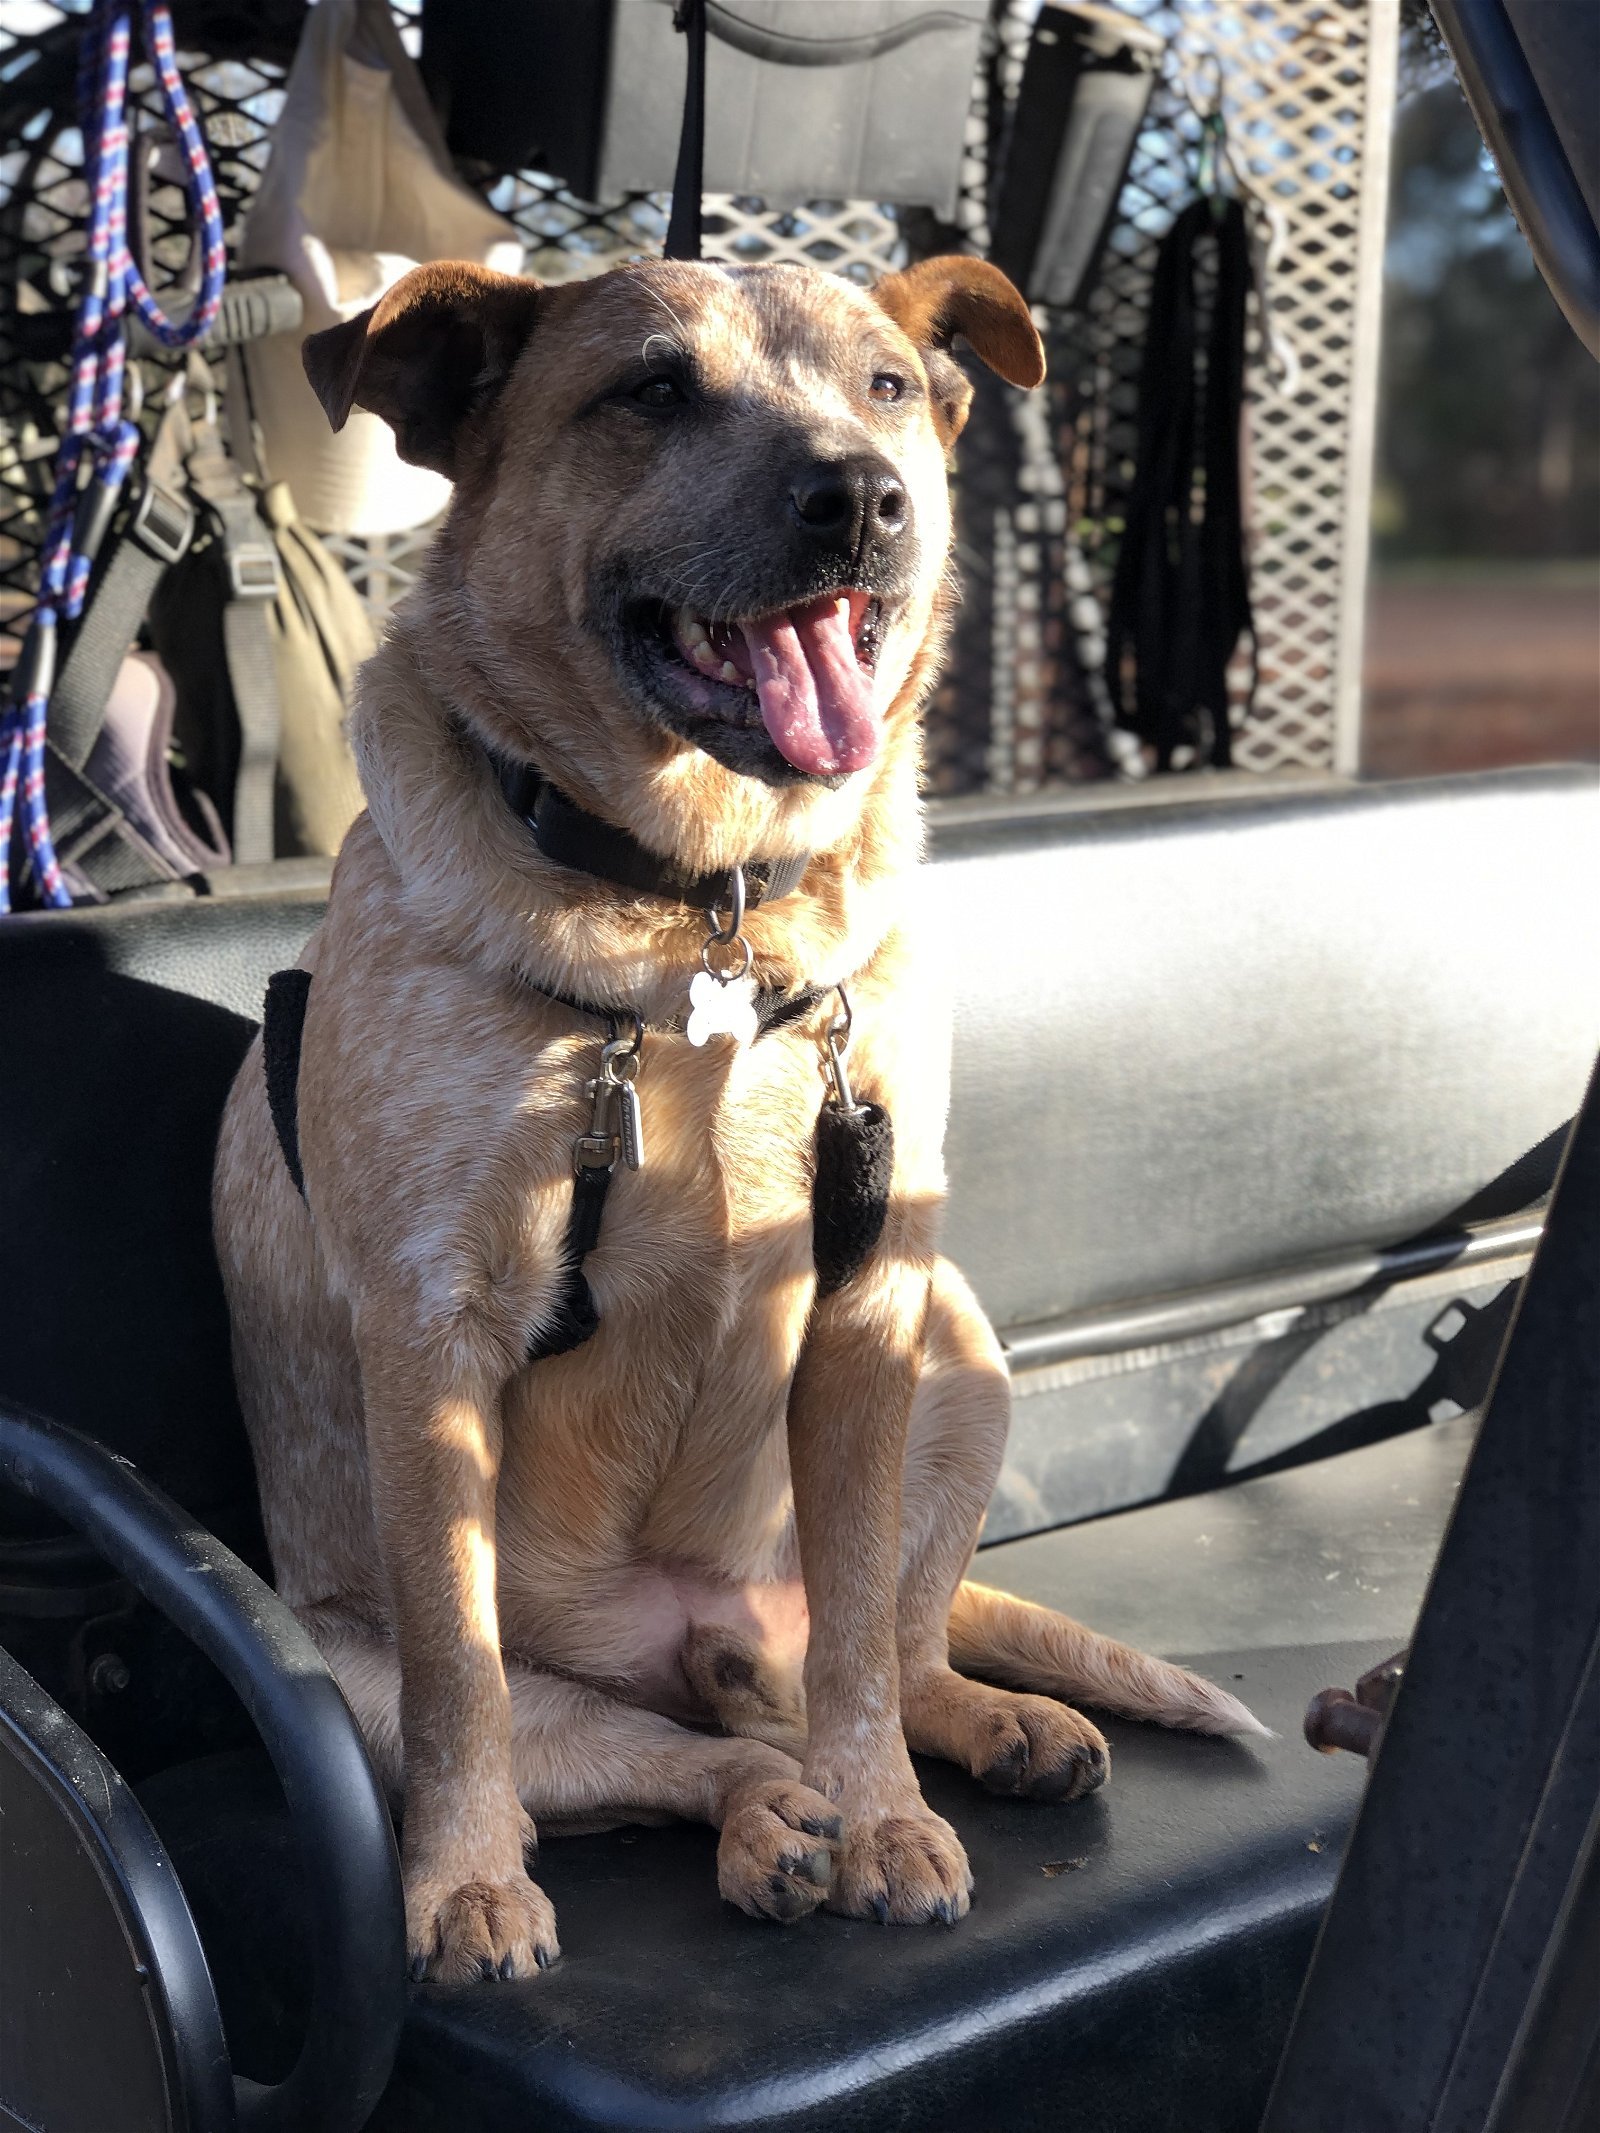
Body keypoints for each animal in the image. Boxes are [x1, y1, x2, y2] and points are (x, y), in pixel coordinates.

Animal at [213, 253, 1262, 1979]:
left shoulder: (870, 1291)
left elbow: (860, 1644)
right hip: (389, 1676)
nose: (866, 498)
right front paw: (467, 1883)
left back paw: (955, 1738)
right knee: (682, 1753)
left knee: (882, 1647)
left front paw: (890, 1814)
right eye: (650, 389)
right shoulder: (433, 1333)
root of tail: (693, 1635)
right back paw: (766, 1821)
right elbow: (461, 1677)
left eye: (890, 387)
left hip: (964, 1348)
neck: (698, 912)